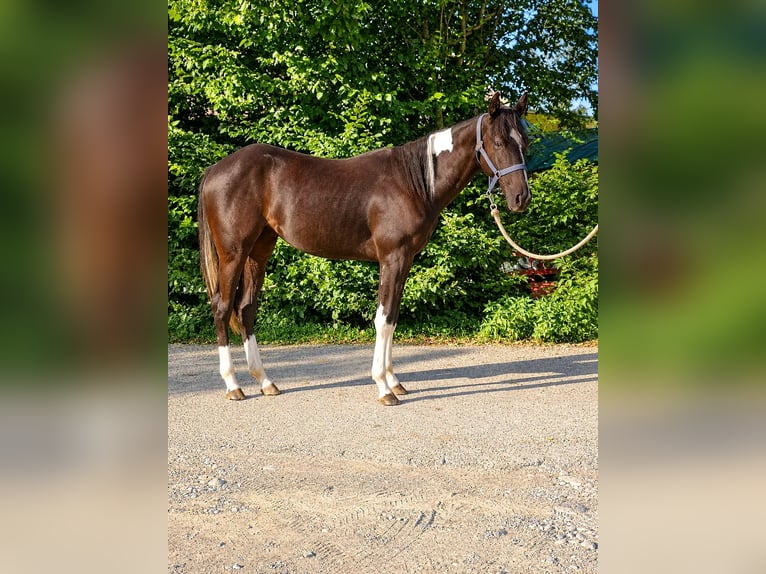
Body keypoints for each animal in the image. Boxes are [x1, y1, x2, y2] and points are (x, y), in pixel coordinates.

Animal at [198, 92, 530, 405]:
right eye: (498, 142)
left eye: (524, 142)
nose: (521, 198)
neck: (414, 181)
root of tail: (215, 169)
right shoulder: (392, 258)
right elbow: (382, 320)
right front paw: (383, 387)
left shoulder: (405, 261)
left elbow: (393, 316)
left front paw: (394, 381)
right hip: (233, 254)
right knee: (222, 307)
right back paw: (233, 385)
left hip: (259, 250)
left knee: (245, 309)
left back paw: (265, 381)